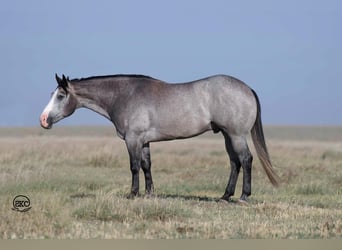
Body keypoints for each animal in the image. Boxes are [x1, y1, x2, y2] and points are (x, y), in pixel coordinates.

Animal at [40, 73, 280, 202]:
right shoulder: (144, 141)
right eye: (52, 95)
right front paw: (149, 193)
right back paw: (225, 196)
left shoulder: (133, 140)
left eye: (61, 96)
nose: (43, 120)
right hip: (227, 135)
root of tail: (247, 88)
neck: (124, 95)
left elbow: (134, 166)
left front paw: (133, 194)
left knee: (246, 160)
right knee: (234, 162)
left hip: (236, 135)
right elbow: (147, 166)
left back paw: (243, 196)